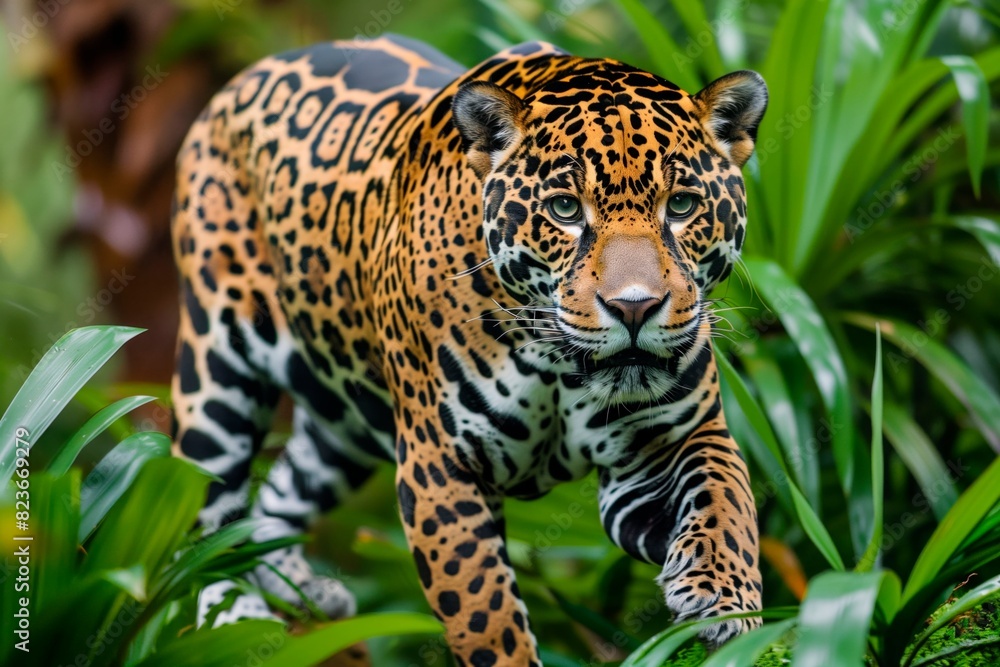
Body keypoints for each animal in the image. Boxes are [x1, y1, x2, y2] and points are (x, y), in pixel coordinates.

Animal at [171, 33, 768, 665]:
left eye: (681, 206)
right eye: (564, 209)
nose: (635, 307)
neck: (558, 363)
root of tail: (245, 77)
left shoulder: (672, 443)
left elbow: (727, 500)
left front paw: (726, 603)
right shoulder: (440, 466)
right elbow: (483, 607)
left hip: (344, 421)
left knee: (277, 498)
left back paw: (301, 592)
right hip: (217, 371)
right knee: (200, 514)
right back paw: (236, 621)